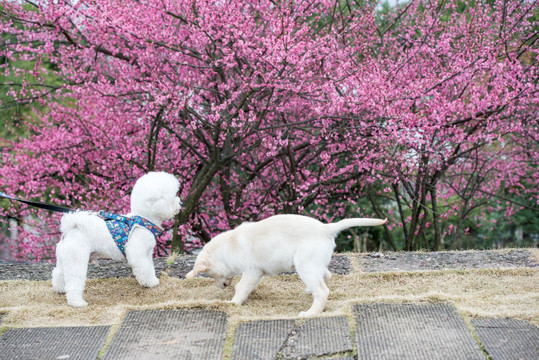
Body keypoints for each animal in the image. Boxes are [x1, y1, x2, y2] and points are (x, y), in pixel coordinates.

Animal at [53, 172, 182, 306]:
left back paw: (61, 289)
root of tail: (70, 228)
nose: (180, 203)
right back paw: (77, 302)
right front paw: (148, 283)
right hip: (76, 258)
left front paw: (152, 280)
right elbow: (144, 268)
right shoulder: (138, 253)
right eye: (171, 198)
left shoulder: (147, 254)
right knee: (73, 281)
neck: (144, 219)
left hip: (64, 258)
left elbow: (150, 267)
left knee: (59, 274)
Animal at [187, 215, 388, 316]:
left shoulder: (252, 271)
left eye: (211, 275)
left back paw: (311, 312)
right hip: (313, 263)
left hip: (305, 264)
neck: (228, 246)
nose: (221, 287)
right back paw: (309, 291)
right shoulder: (256, 273)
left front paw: (233, 302)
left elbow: (241, 286)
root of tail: (325, 228)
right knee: (326, 276)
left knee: (322, 291)